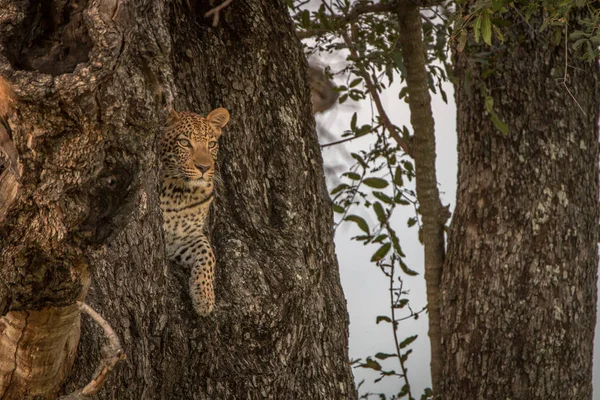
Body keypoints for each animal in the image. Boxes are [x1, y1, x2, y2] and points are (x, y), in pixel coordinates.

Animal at [159, 107, 230, 316]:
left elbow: (208, 253)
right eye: (184, 143)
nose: (204, 167)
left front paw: (205, 297)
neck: (180, 193)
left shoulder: (184, 238)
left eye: (211, 144)